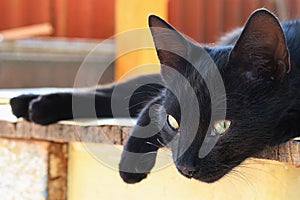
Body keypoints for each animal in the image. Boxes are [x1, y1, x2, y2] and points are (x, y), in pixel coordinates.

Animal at [9, 9, 300, 184]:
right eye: (174, 123)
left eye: (222, 127)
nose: (185, 167)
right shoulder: (162, 98)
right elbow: (152, 106)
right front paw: (131, 163)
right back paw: (30, 102)